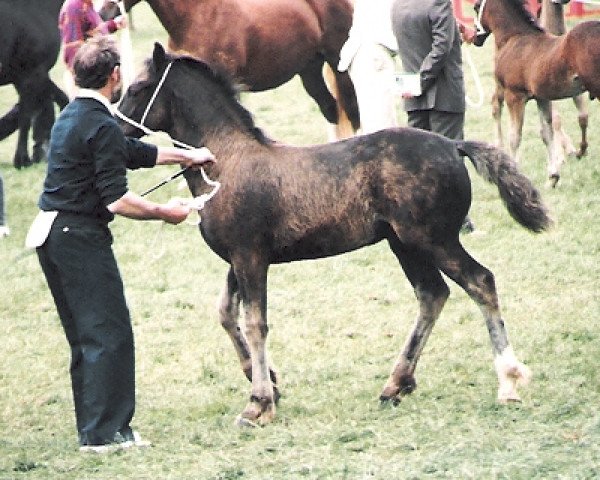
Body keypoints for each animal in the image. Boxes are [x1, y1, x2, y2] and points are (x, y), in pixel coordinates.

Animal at [115, 44, 552, 428]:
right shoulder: (239, 259)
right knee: (432, 294)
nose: (117, 130)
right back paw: (395, 385)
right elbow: (225, 312)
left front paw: (258, 405)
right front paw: (269, 382)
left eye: (137, 88)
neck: (227, 163)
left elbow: (256, 323)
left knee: (480, 282)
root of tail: (453, 145)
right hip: (404, 244)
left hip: (434, 240)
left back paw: (507, 383)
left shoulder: (250, 257)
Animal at [474, 0, 600, 188]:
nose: (475, 37)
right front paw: (553, 177)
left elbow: (515, 137)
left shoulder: (515, 96)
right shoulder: (542, 98)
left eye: (476, 7)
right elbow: (547, 133)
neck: (516, 38)